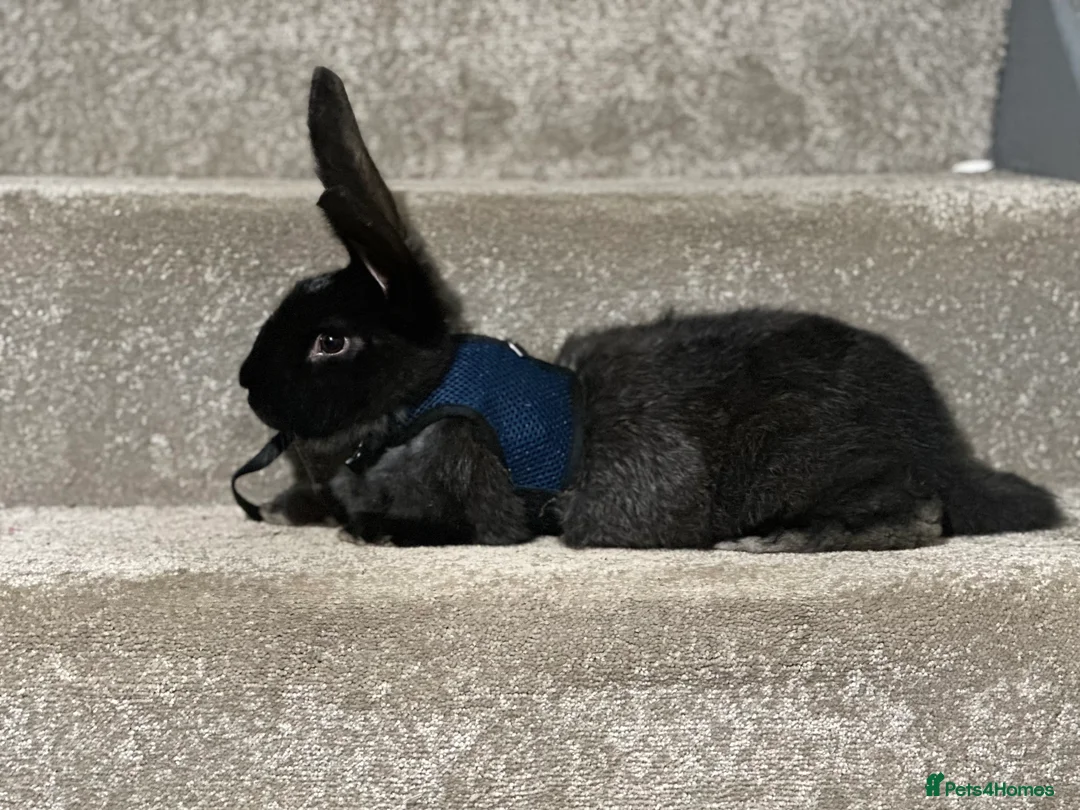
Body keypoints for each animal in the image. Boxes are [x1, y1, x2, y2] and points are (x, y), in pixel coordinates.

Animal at [235, 66, 1064, 551]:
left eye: (331, 342)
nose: (247, 383)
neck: (416, 401)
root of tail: (945, 444)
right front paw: (286, 508)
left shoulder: (480, 509)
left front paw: (363, 531)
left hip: (801, 460)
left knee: (919, 514)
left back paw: (775, 540)